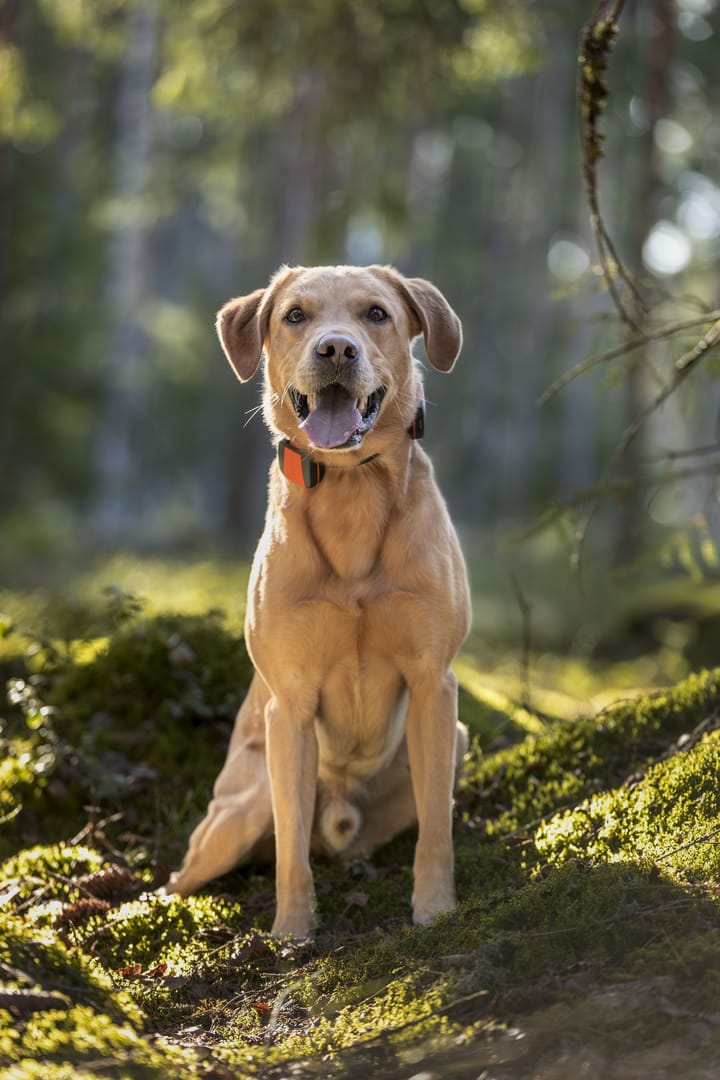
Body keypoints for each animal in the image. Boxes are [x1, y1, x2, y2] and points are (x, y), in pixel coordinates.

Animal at [168, 263, 472, 937]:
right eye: (295, 316)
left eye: (376, 313)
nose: (336, 349)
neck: (350, 487)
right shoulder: (290, 702)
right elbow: (290, 849)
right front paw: (292, 931)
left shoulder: (433, 684)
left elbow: (437, 827)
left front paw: (435, 909)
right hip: (243, 803)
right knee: (197, 868)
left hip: (453, 740)